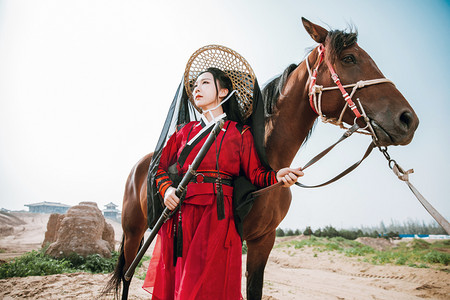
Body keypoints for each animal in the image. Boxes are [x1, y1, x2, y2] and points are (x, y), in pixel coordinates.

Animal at [104, 18, 418, 300]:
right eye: (349, 58)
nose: (408, 120)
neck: (269, 158)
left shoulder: (264, 239)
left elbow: (254, 290)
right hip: (134, 229)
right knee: (128, 276)